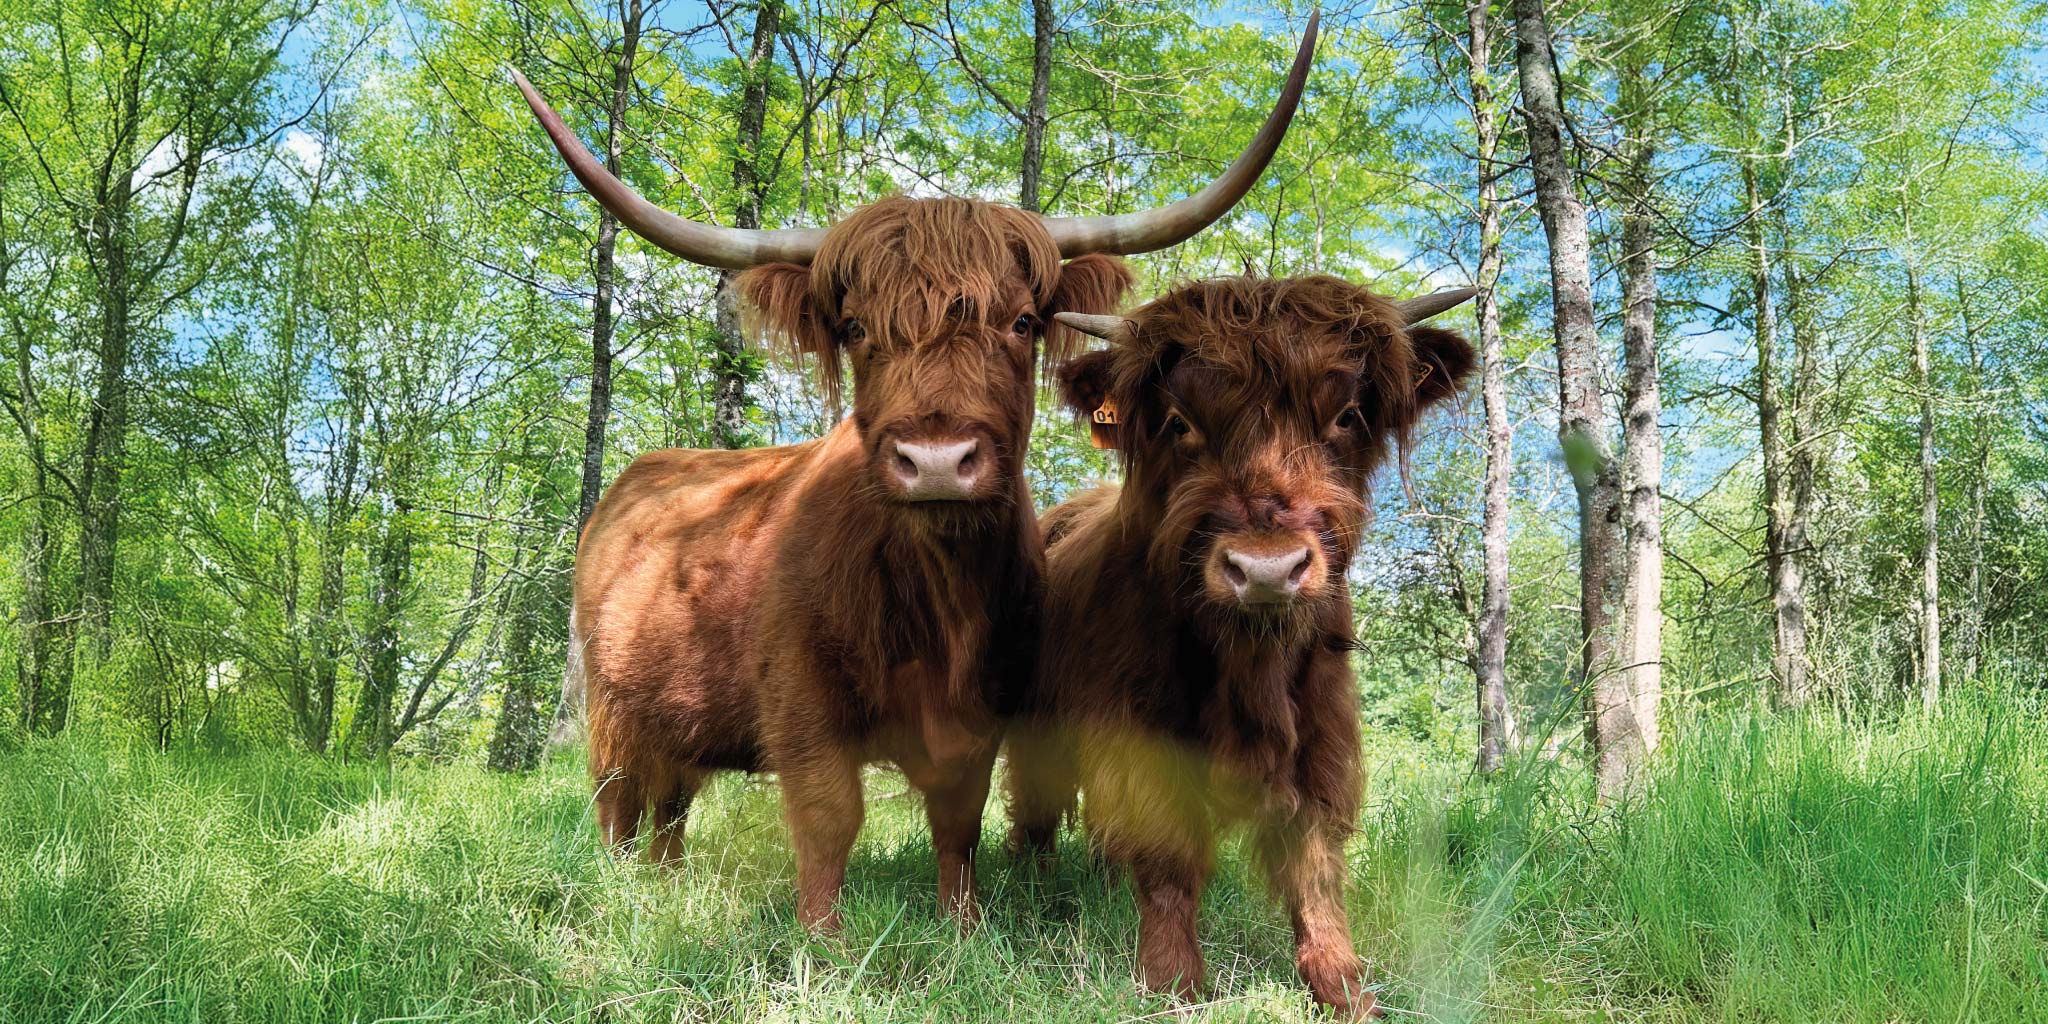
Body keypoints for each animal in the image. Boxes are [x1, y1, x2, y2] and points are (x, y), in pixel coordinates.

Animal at [512, 12, 1319, 933]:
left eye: (1022, 322)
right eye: (857, 327)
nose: (936, 460)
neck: (940, 601)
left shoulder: (985, 709)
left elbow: (959, 822)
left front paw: (962, 927)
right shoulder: (802, 709)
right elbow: (829, 819)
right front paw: (821, 941)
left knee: (671, 803)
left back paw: (666, 884)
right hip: (609, 703)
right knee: (618, 798)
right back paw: (623, 894)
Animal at [1005, 275, 1476, 1017]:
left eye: (1346, 415)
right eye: (1178, 422)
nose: (1266, 569)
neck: (1249, 662)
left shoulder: (1320, 734)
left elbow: (1315, 867)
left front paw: (1344, 986)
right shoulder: (1141, 737)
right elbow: (1166, 855)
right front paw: (1171, 981)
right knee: (1036, 804)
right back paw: (1032, 881)